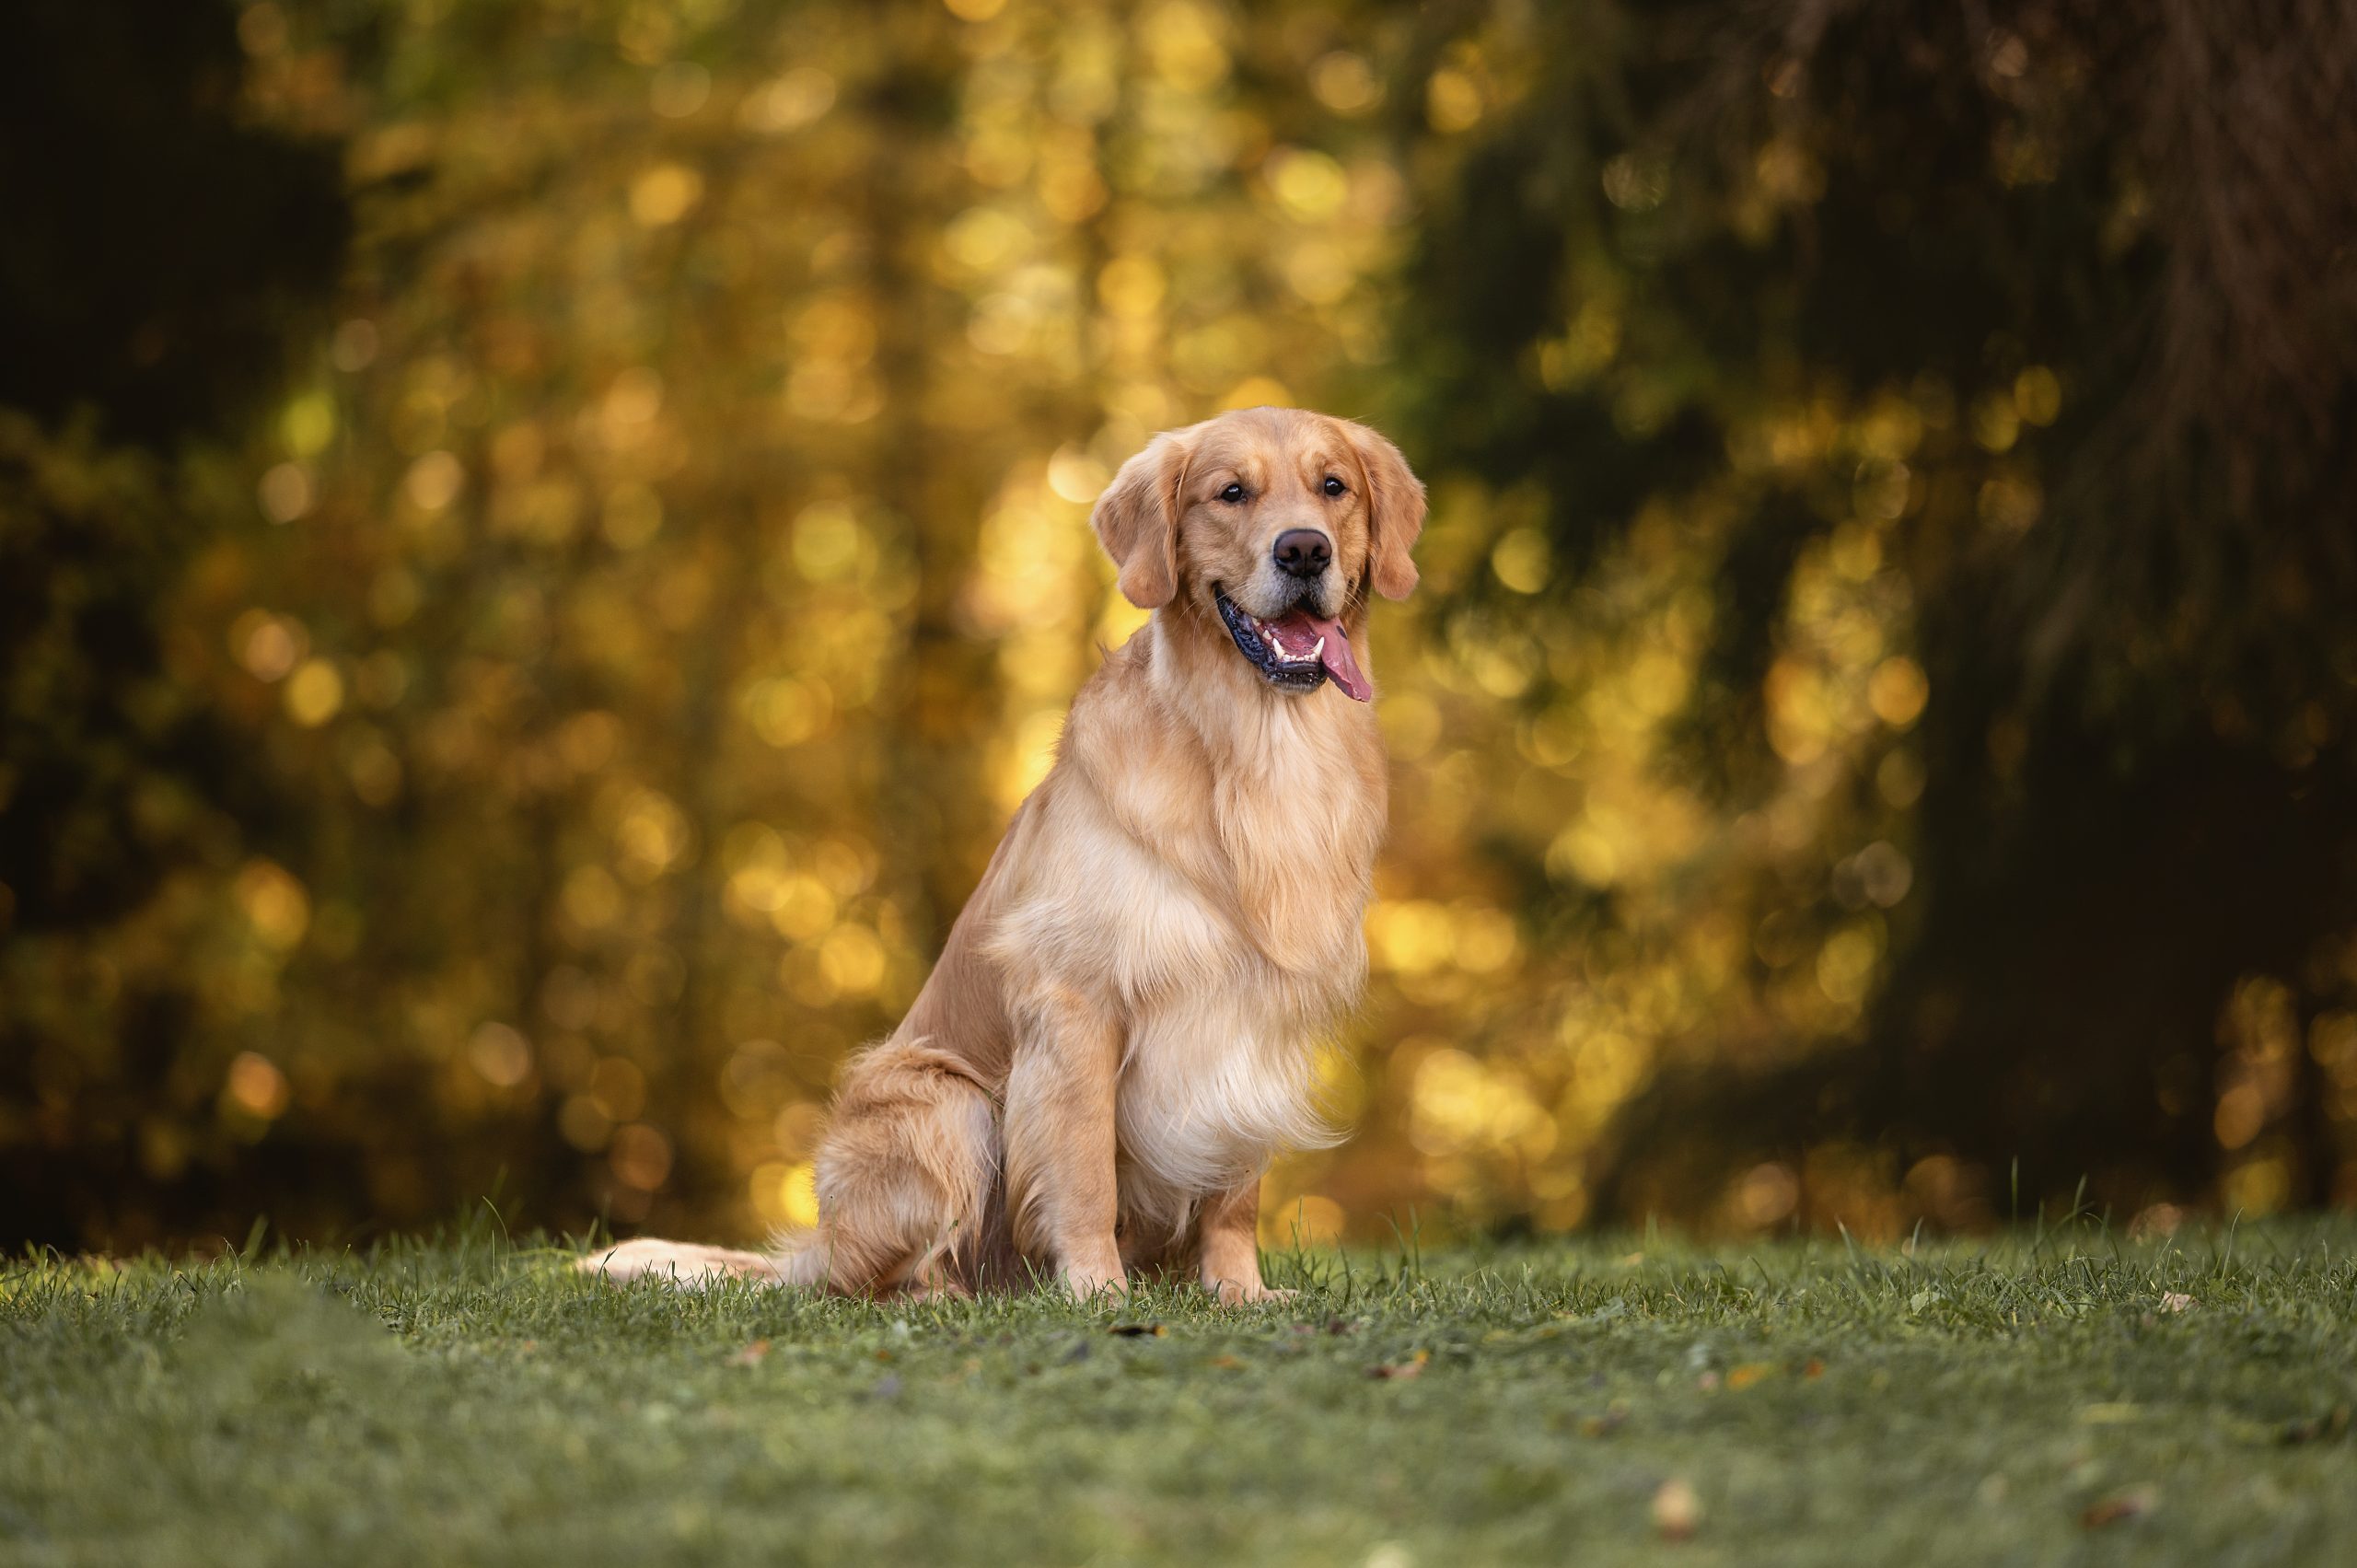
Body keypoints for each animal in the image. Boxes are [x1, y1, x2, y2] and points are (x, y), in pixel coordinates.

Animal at [579, 402, 1423, 1292]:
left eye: (1333, 486)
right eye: (1231, 492)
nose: (1304, 549)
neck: (1253, 744)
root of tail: (813, 1249)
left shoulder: (1254, 1013)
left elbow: (1235, 1193)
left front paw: (1239, 1290)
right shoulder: (1076, 997)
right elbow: (1083, 1168)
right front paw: (1095, 1286)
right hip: (938, 1096)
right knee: (878, 1277)